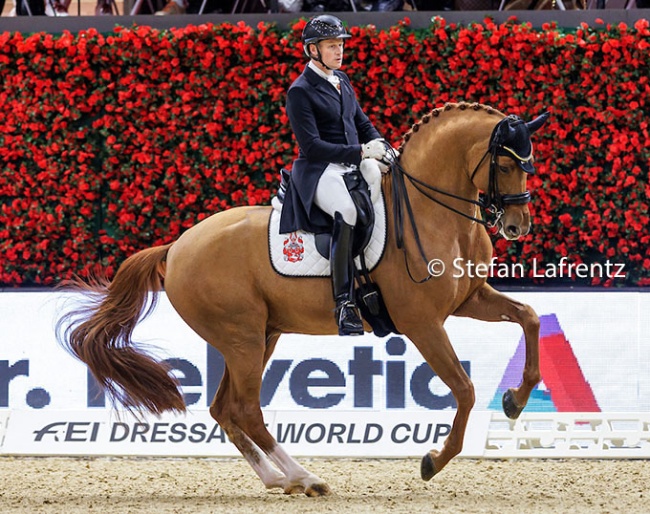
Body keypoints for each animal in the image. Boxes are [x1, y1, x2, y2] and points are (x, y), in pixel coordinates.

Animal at [58, 101, 548, 496]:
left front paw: (515, 400)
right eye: (507, 166)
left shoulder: (471, 299)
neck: (433, 213)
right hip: (242, 338)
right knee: (246, 409)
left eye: (529, 163)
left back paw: (279, 479)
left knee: (225, 409)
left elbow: (530, 316)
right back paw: (304, 477)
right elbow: (464, 390)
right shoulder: (423, 324)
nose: (517, 225)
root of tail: (176, 247)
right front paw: (433, 461)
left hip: (260, 336)